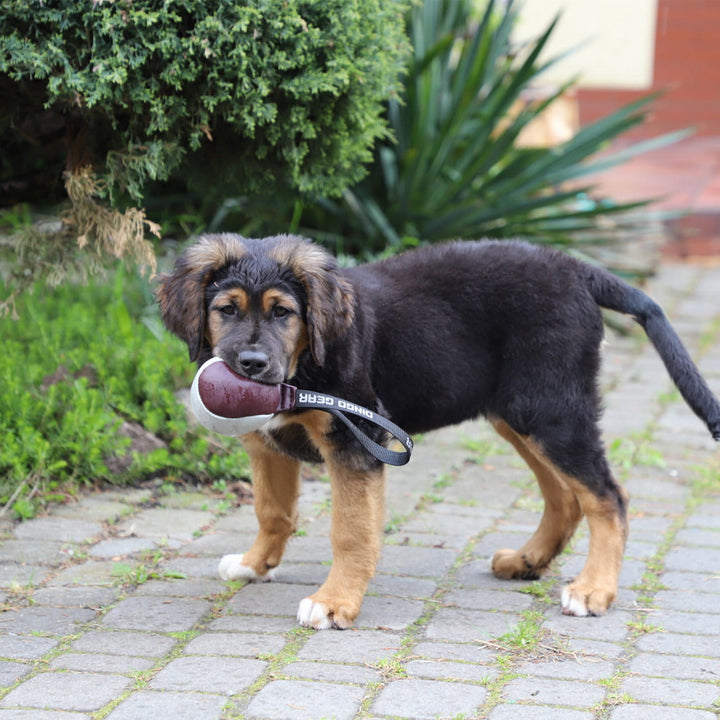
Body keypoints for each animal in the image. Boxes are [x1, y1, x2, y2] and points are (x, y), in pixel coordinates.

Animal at [158, 235, 720, 632]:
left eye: (283, 313)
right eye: (226, 310)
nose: (251, 365)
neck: (302, 368)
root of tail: (576, 269)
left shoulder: (357, 440)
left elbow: (351, 531)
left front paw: (335, 603)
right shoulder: (266, 442)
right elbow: (271, 511)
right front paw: (254, 565)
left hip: (550, 408)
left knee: (608, 497)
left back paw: (593, 590)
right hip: (518, 413)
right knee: (566, 496)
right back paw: (528, 560)